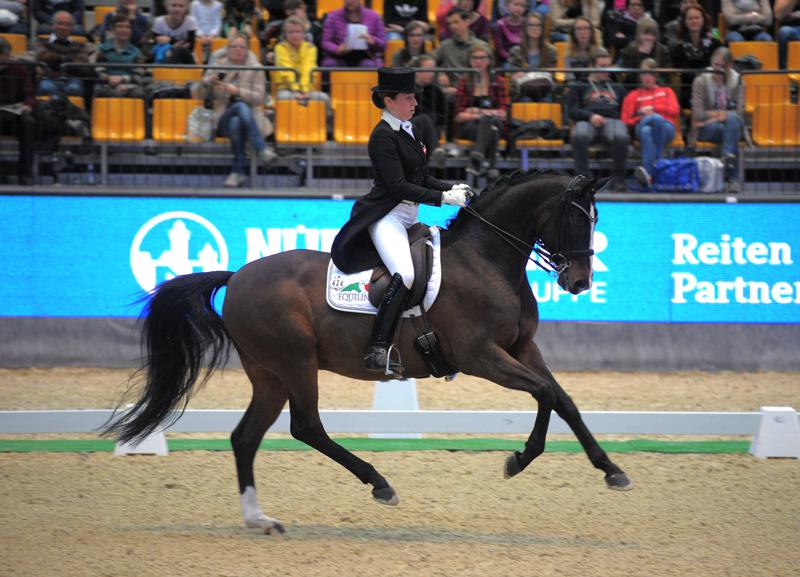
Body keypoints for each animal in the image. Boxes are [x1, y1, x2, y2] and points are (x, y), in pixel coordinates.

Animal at [104, 169, 632, 532]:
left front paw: (609, 470)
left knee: (245, 437)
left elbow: (562, 399)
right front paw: (522, 459)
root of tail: (236, 277)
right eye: (575, 217)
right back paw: (379, 483)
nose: (579, 283)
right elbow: (544, 393)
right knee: (306, 427)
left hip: (269, 373)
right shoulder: (482, 357)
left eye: (596, 220)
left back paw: (259, 519)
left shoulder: (522, 347)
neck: (486, 260)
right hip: (295, 362)